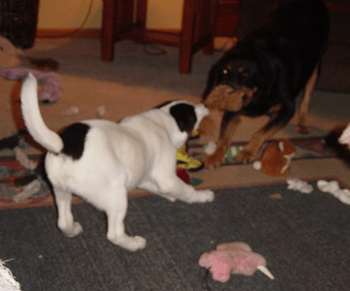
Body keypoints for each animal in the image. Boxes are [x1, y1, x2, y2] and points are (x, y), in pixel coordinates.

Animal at [22, 73, 213, 253]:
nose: (205, 104)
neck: (162, 121)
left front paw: (171, 196)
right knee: (114, 234)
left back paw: (72, 230)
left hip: (61, 191)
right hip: (116, 194)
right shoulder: (167, 178)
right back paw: (134, 244)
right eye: (193, 111)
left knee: (63, 221)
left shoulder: (143, 177)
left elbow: (159, 188)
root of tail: (65, 145)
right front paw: (203, 196)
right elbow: (187, 191)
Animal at [201, 0, 330, 168]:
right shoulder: (232, 111)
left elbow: (260, 132)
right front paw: (216, 155)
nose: (226, 91)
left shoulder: (287, 109)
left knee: (306, 97)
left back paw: (303, 123)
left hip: (315, 65)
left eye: (245, 74)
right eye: (224, 71)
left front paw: (248, 151)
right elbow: (224, 135)